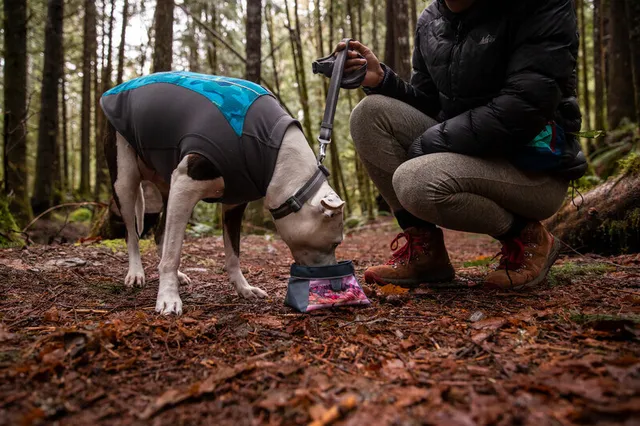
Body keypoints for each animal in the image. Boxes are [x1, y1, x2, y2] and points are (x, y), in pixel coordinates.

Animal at [101, 71, 344, 314]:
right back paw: (136, 272)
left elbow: (233, 253)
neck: (275, 156)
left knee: (162, 234)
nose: (333, 282)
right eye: (335, 243)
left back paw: (176, 275)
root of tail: (119, 87)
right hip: (125, 178)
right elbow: (173, 253)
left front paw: (243, 288)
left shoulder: (234, 203)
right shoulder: (186, 182)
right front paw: (168, 297)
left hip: (169, 187)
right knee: (132, 233)